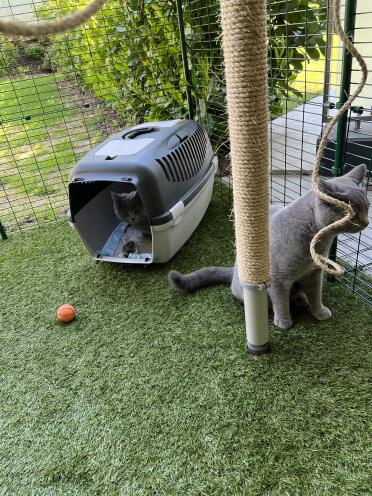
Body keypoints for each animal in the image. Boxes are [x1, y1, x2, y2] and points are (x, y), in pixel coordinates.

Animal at [169, 163, 370, 332]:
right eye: (354, 214)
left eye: (367, 207)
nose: (367, 222)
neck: (317, 238)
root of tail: (233, 271)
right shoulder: (278, 278)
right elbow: (280, 301)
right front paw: (284, 322)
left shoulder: (313, 274)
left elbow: (315, 295)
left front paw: (319, 312)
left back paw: (301, 299)